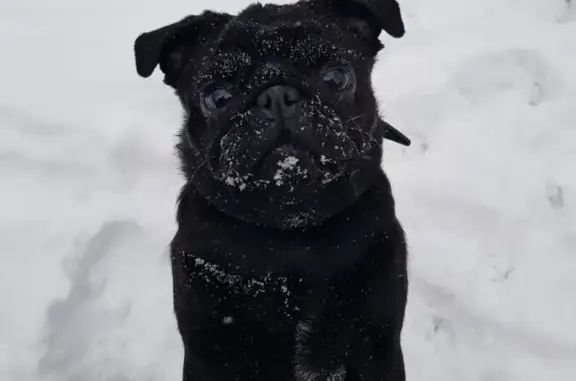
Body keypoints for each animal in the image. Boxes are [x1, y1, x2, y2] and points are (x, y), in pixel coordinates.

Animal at [134, 0, 410, 380]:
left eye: (337, 77)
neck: (289, 231)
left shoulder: (378, 348)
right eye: (216, 97)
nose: (276, 95)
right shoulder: (210, 354)